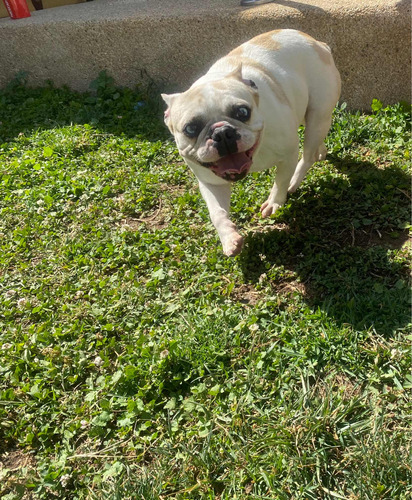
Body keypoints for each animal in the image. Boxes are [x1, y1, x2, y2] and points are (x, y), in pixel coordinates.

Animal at [162, 30, 342, 256]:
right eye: (190, 129)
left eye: (242, 112)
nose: (222, 133)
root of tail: (317, 43)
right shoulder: (210, 182)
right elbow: (217, 212)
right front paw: (229, 238)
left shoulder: (288, 155)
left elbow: (280, 180)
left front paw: (274, 202)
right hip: (309, 117)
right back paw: (321, 152)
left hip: (317, 115)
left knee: (307, 155)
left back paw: (296, 179)